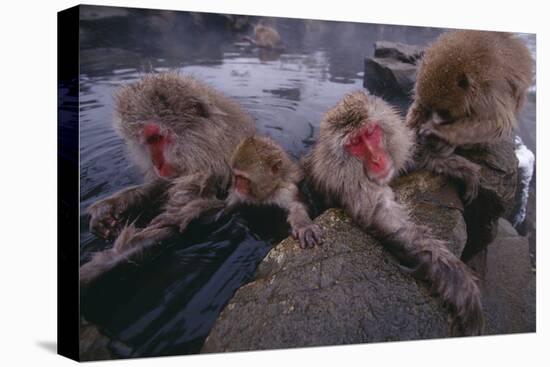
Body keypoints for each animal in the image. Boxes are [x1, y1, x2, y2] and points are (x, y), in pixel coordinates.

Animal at [306, 91, 488, 336]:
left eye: (370, 133)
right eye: (355, 143)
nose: (376, 159)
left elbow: (411, 157)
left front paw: (460, 167)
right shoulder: (352, 186)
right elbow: (389, 220)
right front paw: (460, 282)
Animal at [410, 30, 536, 204]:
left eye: (444, 112)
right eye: (429, 109)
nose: (435, 120)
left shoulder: (488, 92)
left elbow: (497, 124)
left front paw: (441, 133)